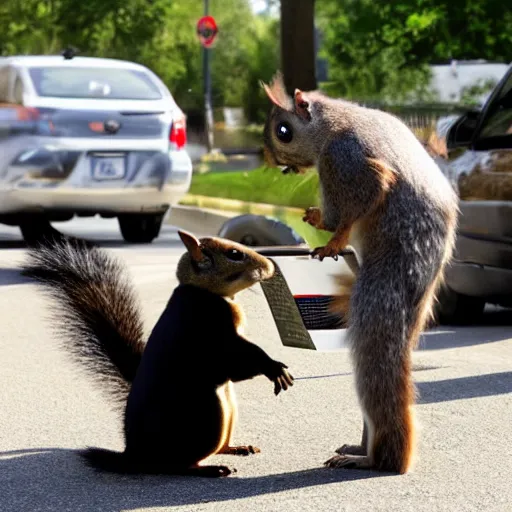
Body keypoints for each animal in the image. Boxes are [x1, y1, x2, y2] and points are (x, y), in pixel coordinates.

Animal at [22, 230, 294, 478]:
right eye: (234, 254)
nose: (270, 265)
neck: (205, 293)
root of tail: (135, 455)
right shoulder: (211, 331)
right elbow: (236, 363)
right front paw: (273, 368)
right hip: (202, 418)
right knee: (175, 466)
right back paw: (210, 469)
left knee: (216, 447)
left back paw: (237, 448)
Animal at [262, 73, 458, 476]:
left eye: (283, 131)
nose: (270, 159)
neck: (331, 123)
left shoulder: (345, 160)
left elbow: (364, 197)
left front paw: (330, 238)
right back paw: (359, 447)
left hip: (383, 287)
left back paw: (375, 459)